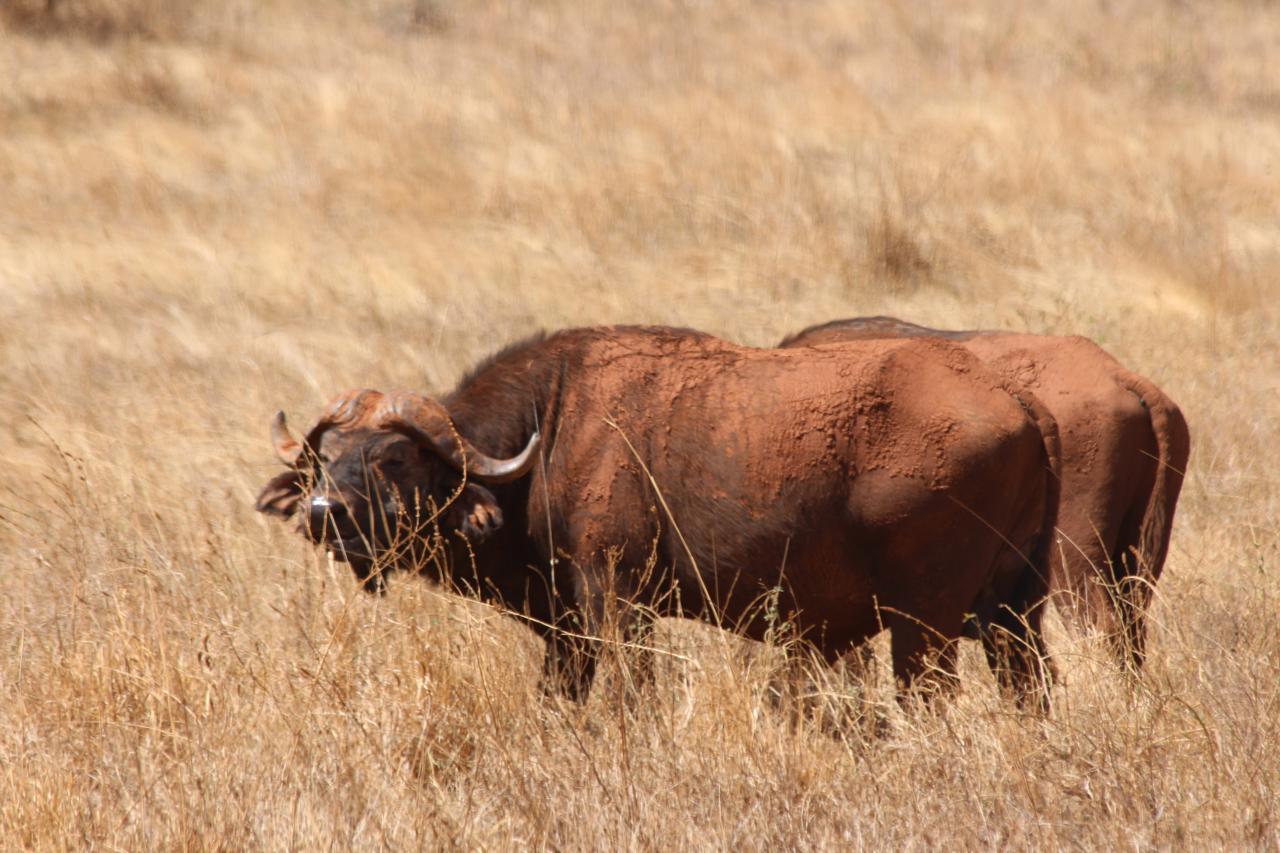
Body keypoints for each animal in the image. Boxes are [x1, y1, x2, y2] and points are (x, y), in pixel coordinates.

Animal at [256, 326, 1061, 709]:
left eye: (395, 457)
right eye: (326, 456)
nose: (323, 513)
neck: (552, 426)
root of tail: (1019, 401)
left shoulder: (617, 601)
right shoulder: (568, 630)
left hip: (925, 624)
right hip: (1013, 620)